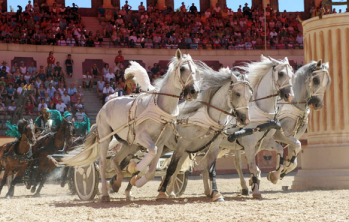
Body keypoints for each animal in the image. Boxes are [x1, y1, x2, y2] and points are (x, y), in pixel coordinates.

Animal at [56, 49, 198, 202]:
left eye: (196, 70)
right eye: (182, 68)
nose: (194, 91)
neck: (161, 107)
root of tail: (105, 106)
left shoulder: (160, 142)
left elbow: (151, 171)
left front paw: (137, 181)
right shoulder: (142, 137)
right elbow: (150, 155)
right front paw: (133, 168)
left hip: (128, 144)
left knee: (114, 159)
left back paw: (117, 182)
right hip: (106, 137)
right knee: (102, 163)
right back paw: (105, 192)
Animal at [156, 63, 253, 202]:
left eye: (250, 95)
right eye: (237, 93)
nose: (245, 119)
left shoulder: (214, 146)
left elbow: (211, 170)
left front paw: (216, 193)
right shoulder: (181, 144)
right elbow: (171, 168)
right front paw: (161, 193)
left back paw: (171, 191)